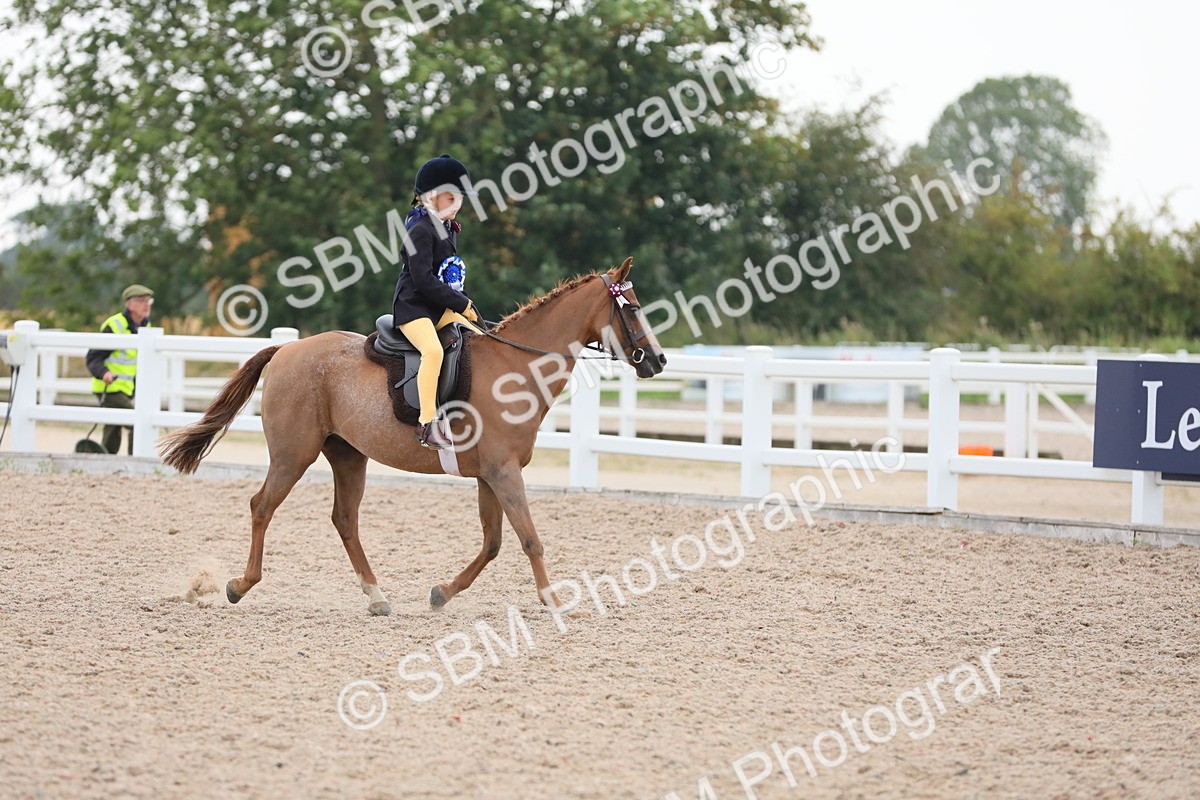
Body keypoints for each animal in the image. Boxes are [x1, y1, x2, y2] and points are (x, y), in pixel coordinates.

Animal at [158, 258, 666, 616]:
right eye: (632, 308)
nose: (658, 360)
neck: (515, 366)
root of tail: (288, 348)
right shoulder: (503, 474)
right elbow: (529, 539)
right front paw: (553, 600)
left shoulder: (491, 475)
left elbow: (494, 543)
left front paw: (442, 593)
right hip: (292, 455)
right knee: (262, 506)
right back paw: (239, 586)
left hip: (348, 456)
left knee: (345, 520)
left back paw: (376, 596)